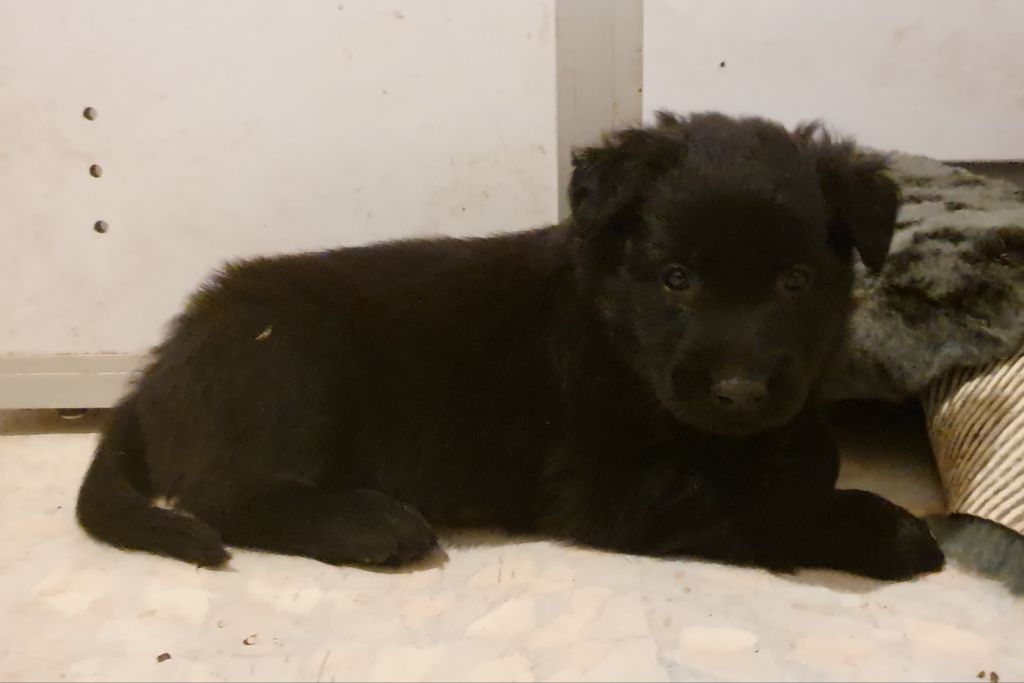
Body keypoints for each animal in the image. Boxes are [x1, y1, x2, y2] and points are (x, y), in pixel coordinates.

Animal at [77, 111, 945, 579]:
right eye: (676, 278)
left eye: (796, 281)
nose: (738, 391)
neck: (614, 330)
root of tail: (153, 376)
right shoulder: (610, 482)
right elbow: (762, 502)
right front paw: (889, 528)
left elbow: (805, 450)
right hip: (287, 362)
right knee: (224, 496)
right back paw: (371, 524)